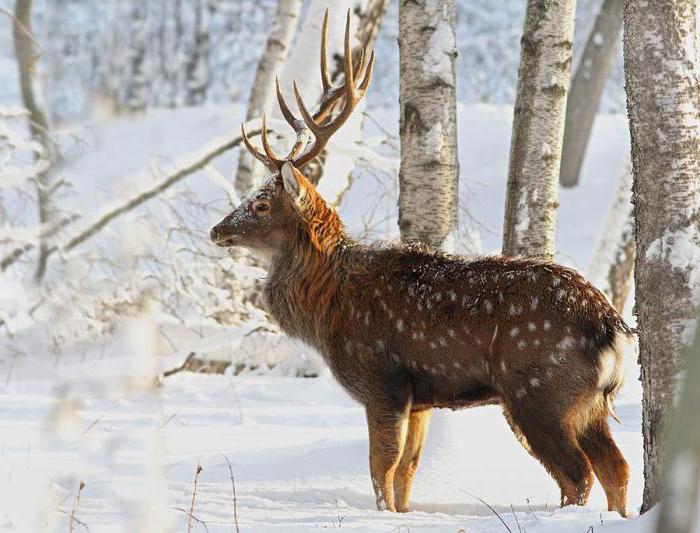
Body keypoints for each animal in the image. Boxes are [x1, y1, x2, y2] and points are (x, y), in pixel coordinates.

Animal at [211, 8, 632, 516]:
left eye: (260, 205)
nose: (216, 230)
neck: (329, 306)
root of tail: (611, 326)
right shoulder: (422, 398)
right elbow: (407, 472)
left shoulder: (381, 380)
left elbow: (382, 467)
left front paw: (382, 516)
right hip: (589, 403)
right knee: (617, 467)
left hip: (540, 391)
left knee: (579, 474)